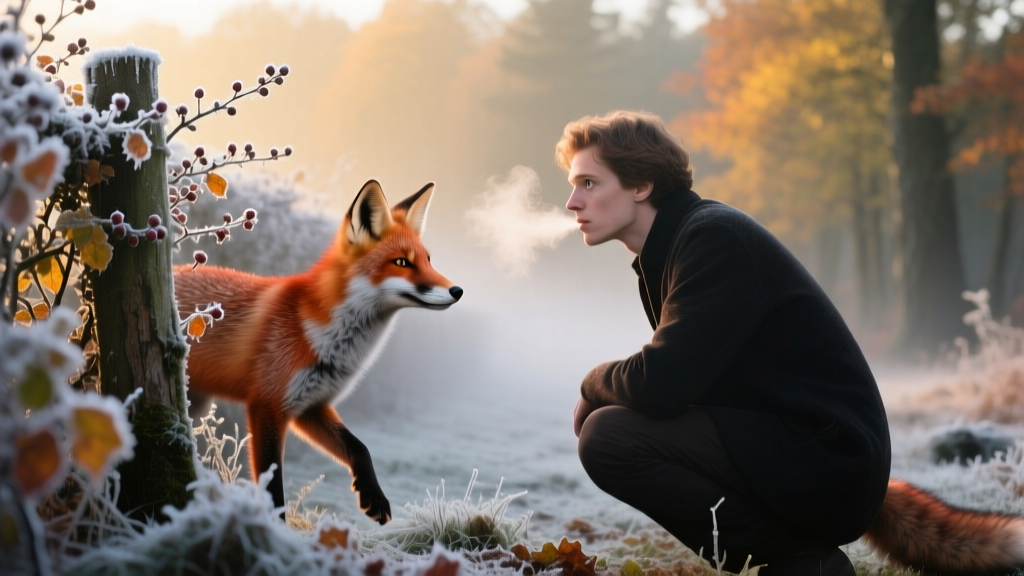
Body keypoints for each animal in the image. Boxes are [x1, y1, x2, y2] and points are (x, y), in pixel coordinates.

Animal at [174, 179, 463, 524]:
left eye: (429, 260)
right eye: (402, 263)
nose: (458, 290)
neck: (330, 342)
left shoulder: (310, 406)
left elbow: (359, 447)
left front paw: (373, 495)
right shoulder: (267, 406)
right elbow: (273, 486)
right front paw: (278, 531)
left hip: (197, 403)